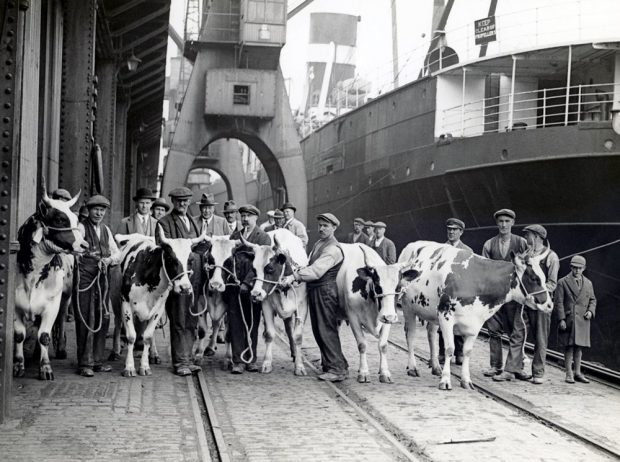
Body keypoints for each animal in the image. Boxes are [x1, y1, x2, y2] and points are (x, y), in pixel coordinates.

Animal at [15, 188, 87, 378]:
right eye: (60, 219)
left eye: (76, 219)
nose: (84, 245)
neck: (33, 277)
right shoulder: (16, 306)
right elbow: (19, 335)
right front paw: (18, 365)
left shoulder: (51, 305)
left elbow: (44, 336)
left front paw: (46, 368)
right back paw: (35, 354)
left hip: (66, 297)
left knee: (60, 320)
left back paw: (60, 349)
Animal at [115, 229, 205, 378]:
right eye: (170, 259)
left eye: (191, 260)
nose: (185, 288)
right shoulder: (125, 303)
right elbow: (131, 336)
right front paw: (129, 367)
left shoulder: (158, 308)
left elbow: (147, 336)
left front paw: (144, 366)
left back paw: (153, 355)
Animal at [241, 227, 310, 376]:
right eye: (253, 269)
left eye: (270, 269)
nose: (255, 294)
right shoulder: (266, 305)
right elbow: (269, 334)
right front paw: (267, 363)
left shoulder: (302, 307)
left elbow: (298, 336)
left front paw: (300, 366)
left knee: (289, 330)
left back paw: (295, 353)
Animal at [400, 242, 556, 390]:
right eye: (534, 278)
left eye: (544, 277)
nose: (550, 305)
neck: (476, 279)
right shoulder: (445, 316)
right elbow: (450, 349)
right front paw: (445, 380)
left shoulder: (475, 323)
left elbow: (467, 352)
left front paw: (466, 380)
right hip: (408, 307)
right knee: (410, 335)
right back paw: (412, 367)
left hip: (431, 312)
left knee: (431, 334)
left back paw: (436, 367)